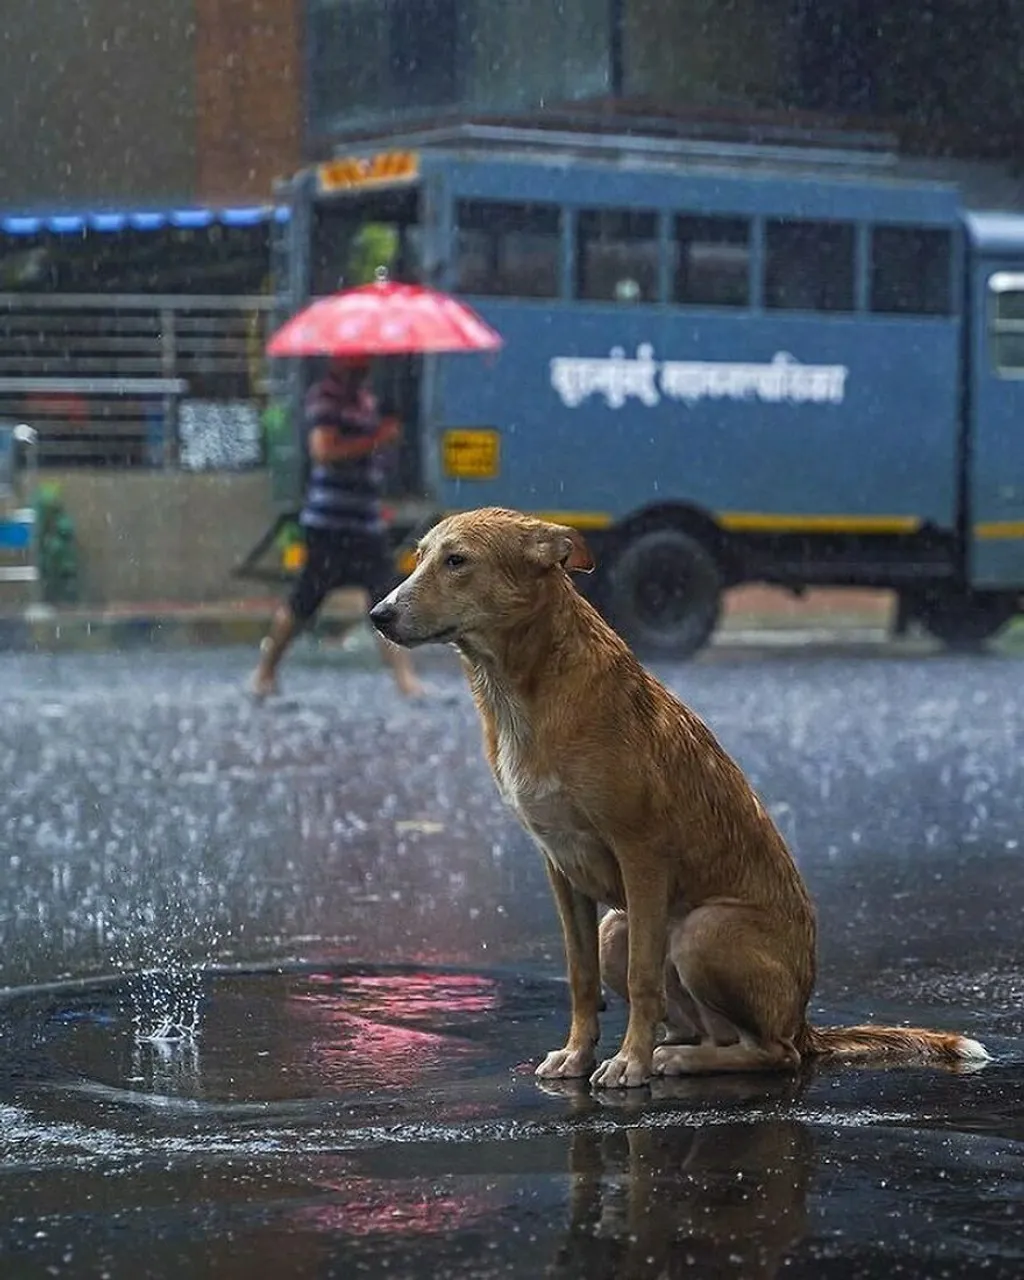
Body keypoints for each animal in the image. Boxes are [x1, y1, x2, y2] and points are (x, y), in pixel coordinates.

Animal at [368, 504, 983, 1085]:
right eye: (420, 556)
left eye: (457, 561)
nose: (379, 615)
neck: (522, 689)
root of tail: (805, 1022)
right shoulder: (559, 866)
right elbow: (579, 974)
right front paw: (578, 1054)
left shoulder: (641, 854)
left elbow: (643, 979)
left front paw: (628, 1063)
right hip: (618, 928)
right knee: (707, 1030)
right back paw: (679, 1051)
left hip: (702, 931)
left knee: (772, 1053)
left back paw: (673, 1059)